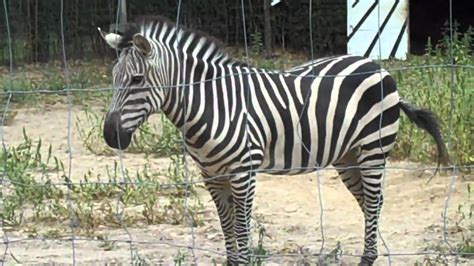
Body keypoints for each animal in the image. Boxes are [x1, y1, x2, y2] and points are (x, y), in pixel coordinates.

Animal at [99, 16, 448, 264]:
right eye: (114, 78)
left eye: (137, 79)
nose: (110, 135)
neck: (212, 104)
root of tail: (376, 66)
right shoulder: (212, 176)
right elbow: (227, 231)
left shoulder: (243, 173)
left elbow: (242, 233)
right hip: (348, 157)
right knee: (371, 204)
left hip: (373, 150)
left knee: (374, 203)